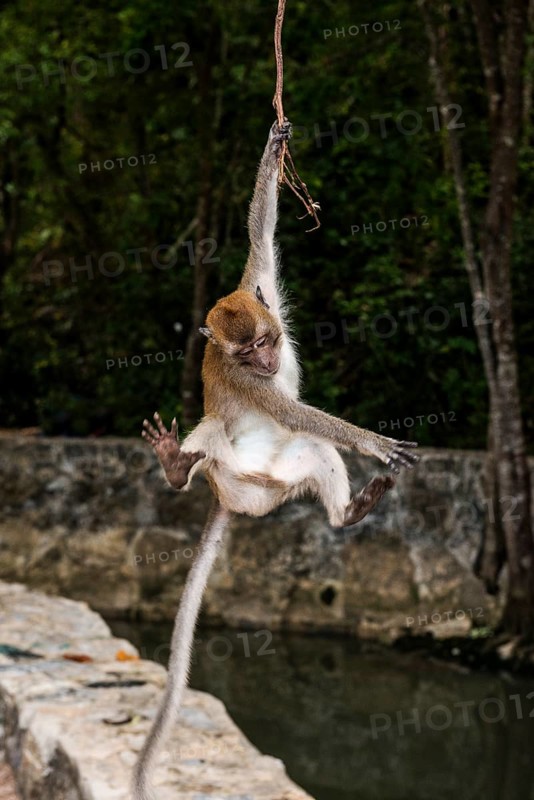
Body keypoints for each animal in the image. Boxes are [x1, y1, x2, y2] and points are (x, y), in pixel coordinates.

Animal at [132, 120, 418, 800]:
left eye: (268, 340)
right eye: (248, 352)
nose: (266, 361)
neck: (254, 362)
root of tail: (232, 499)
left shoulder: (259, 287)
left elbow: (260, 236)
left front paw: (273, 149)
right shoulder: (247, 385)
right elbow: (292, 410)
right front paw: (372, 440)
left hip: (280, 481)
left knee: (314, 450)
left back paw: (346, 515)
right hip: (232, 477)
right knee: (216, 431)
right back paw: (177, 468)